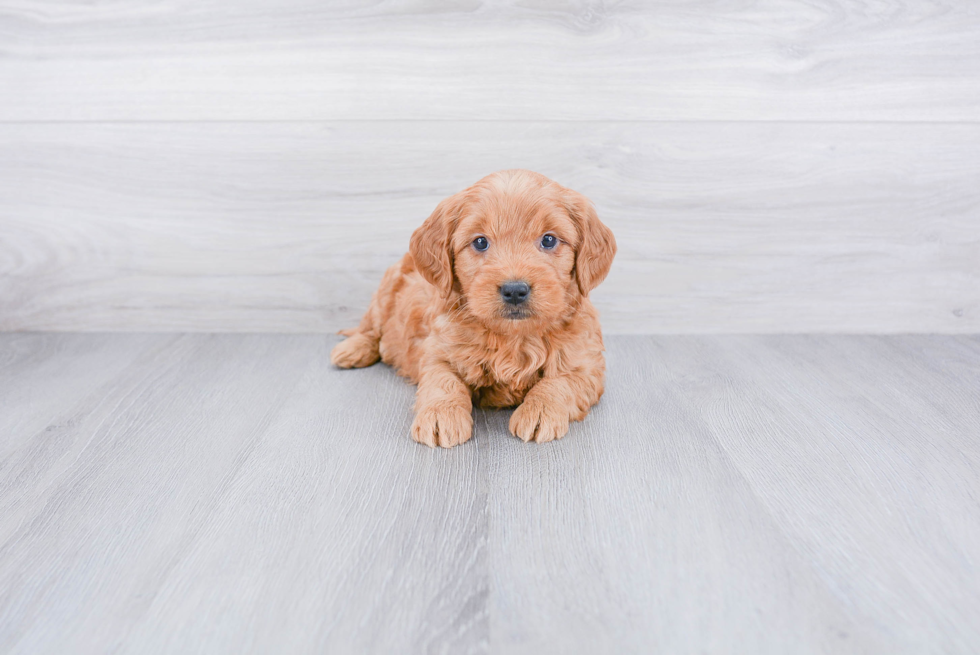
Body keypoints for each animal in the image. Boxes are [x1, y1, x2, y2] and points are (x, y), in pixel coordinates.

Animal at [334, 169, 616, 448]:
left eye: (549, 240)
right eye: (480, 242)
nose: (515, 290)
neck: (514, 337)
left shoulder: (586, 363)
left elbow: (560, 382)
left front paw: (539, 411)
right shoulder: (438, 350)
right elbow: (442, 381)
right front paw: (440, 415)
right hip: (385, 291)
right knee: (371, 328)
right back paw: (352, 350)